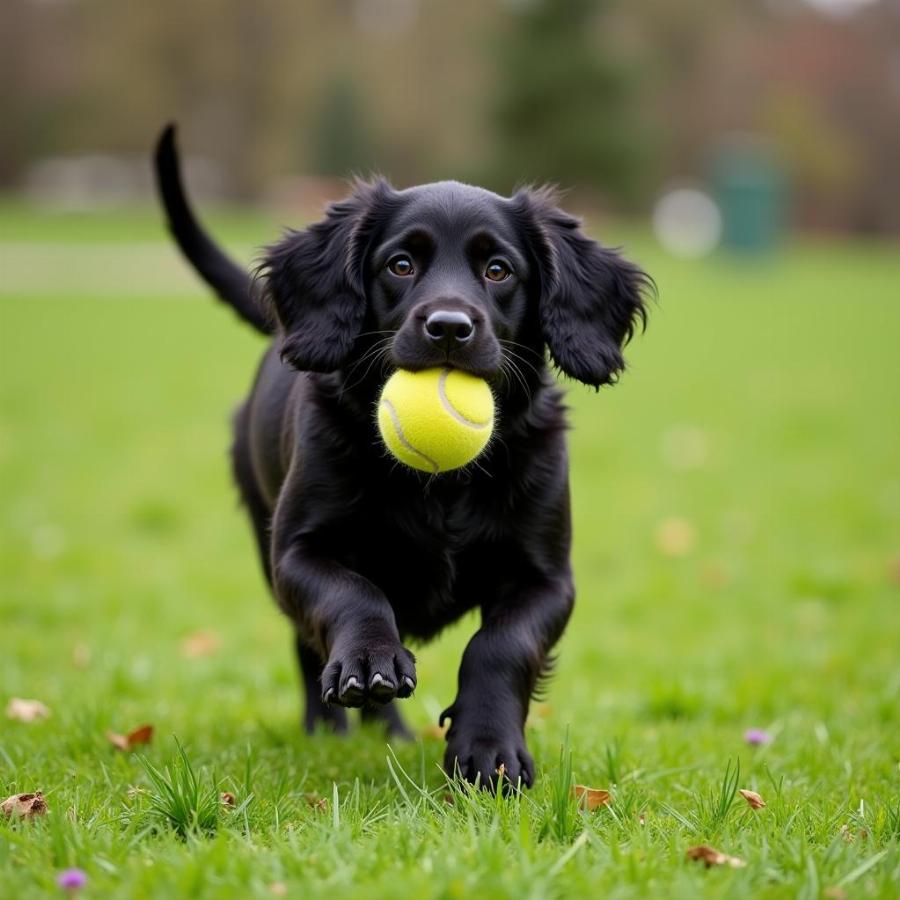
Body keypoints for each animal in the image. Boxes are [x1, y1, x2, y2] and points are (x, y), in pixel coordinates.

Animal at [153, 126, 648, 788]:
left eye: (498, 270)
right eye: (400, 264)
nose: (449, 327)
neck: (440, 484)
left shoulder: (546, 578)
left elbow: (500, 646)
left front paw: (488, 749)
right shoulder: (298, 552)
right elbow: (355, 594)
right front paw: (369, 660)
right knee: (307, 646)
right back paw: (331, 726)